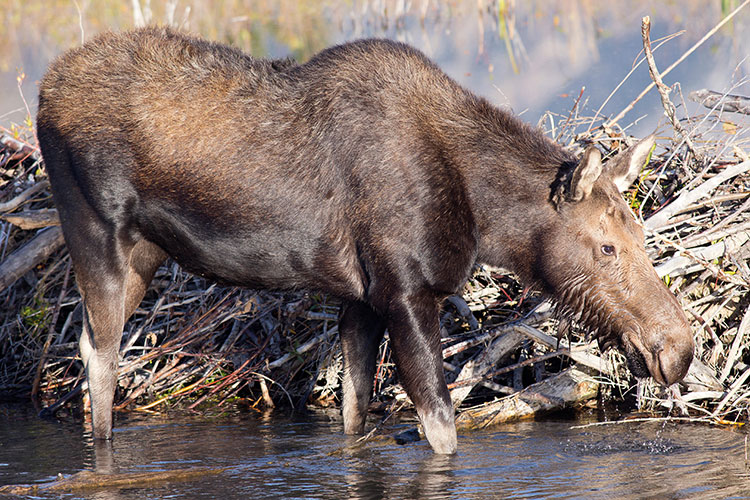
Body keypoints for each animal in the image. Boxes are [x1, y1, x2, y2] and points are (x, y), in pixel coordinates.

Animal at [33, 28, 692, 458]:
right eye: (606, 248)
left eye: (640, 235)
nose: (678, 350)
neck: (485, 217)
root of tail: (44, 91)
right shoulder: (406, 291)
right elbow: (441, 428)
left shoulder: (360, 298)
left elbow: (355, 413)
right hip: (94, 232)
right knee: (99, 355)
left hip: (146, 254)